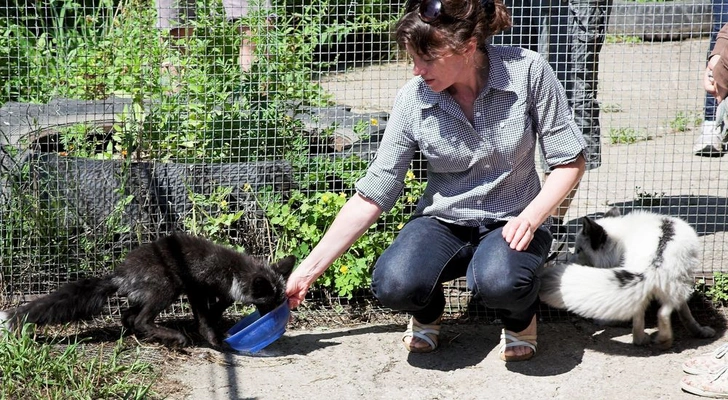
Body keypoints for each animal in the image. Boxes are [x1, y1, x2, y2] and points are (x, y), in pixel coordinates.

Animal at [0, 233, 296, 348]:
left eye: (280, 301)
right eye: (270, 303)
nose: (277, 317)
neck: (233, 271)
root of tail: (119, 274)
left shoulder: (217, 292)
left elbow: (217, 307)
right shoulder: (195, 288)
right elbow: (204, 318)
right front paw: (213, 339)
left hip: (148, 295)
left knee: (129, 317)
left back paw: (145, 335)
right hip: (167, 287)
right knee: (141, 319)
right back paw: (174, 337)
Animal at [540, 208, 716, 348]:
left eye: (579, 250)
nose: (568, 261)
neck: (619, 240)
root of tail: (654, 261)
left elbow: (685, 313)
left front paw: (699, 331)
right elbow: (685, 312)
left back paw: (644, 340)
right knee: (662, 312)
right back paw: (662, 341)